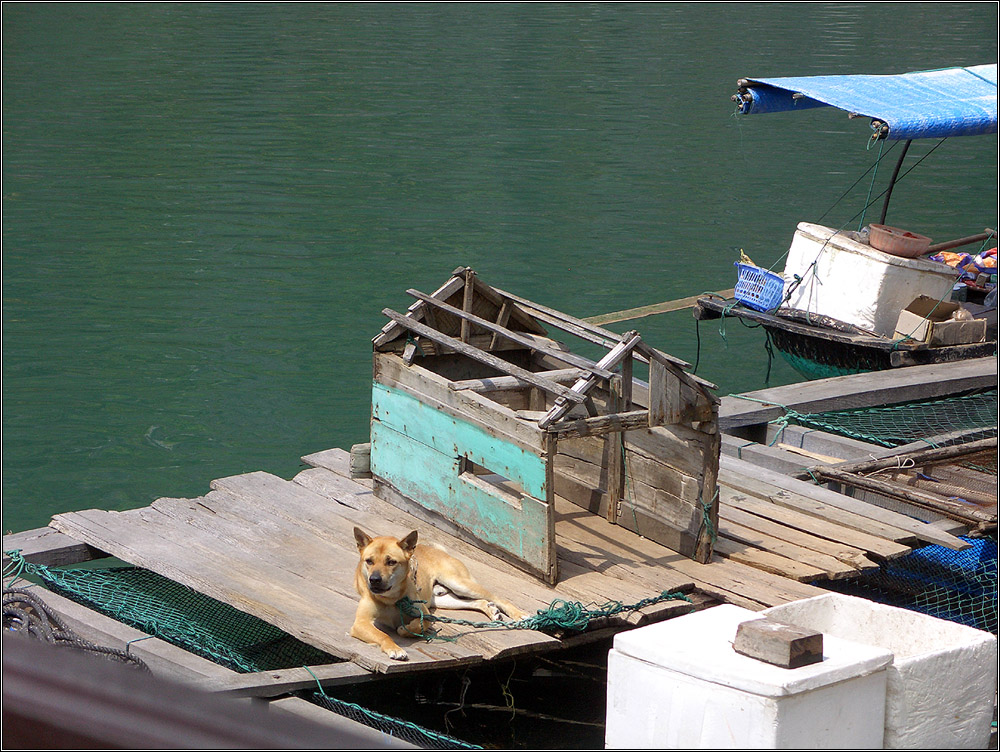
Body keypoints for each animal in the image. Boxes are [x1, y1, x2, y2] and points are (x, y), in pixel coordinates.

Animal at [350, 524, 528, 660]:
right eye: (369, 561)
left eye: (391, 562)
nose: (374, 579)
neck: (391, 598)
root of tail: (434, 548)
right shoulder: (361, 623)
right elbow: (383, 635)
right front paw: (395, 648)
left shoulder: (426, 613)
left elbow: (419, 624)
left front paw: (404, 629)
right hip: (445, 600)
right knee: (478, 602)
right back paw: (491, 611)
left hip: (459, 583)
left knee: (496, 597)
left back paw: (519, 614)